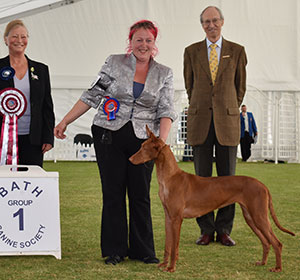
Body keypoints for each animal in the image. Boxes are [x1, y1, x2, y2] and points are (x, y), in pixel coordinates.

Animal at [129, 126, 296, 272]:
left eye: (143, 147)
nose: (130, 159)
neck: (170, 178)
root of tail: (263, 185)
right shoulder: (168, 218)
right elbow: (168, 245)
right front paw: (164, 265)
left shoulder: (177, 219)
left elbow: (174, 246)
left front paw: (171, 268)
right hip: (251, 217)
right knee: (266, 242)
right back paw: (262, 262)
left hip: (259, 216)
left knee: (277, 243)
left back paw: (277, 268)